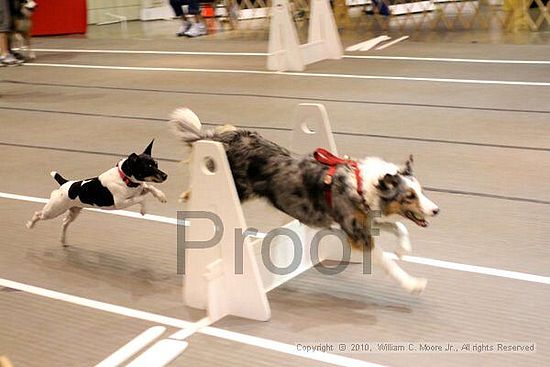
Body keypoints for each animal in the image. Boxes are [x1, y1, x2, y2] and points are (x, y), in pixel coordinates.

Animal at [26, 141, 168, 247]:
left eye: (156, 164)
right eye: (148, 167)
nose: (166, 176)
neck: (125, 178)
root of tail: (65, 183)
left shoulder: (139, 188)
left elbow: (149, 187)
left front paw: (161, 196)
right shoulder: (121, 203)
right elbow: (141, 198)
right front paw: (143, 210)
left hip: (74, 211)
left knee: (65, 222)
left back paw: (63, 240)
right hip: (53, 210)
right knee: (38, 214)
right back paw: (30, 225)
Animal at [170, 108, 442, 294]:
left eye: (421, 191)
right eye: (409, 196)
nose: (437, 210)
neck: (362, 185)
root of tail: (227, 139)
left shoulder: (363, 220)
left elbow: (398, 225)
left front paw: (403, 248)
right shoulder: (358, 235)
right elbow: (388, 264)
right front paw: (413, 283)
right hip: (234, 187)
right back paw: (185, 195)